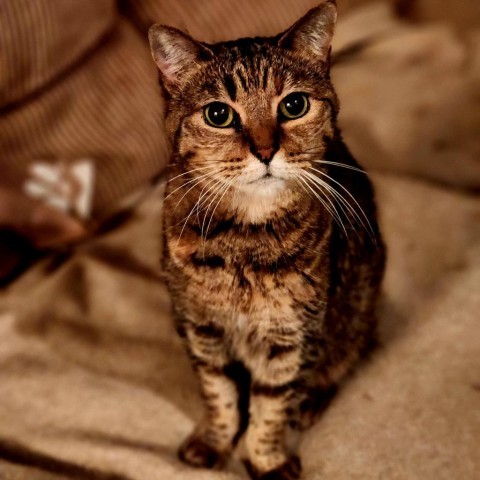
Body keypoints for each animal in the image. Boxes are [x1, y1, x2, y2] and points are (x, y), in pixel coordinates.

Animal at [148, 1, 384, 478]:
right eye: (218, 115)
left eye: (294, 105)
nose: (264, 150)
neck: (244, 241)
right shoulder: (200, 327)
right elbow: (219, 395)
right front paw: (214, 441)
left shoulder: (292, 336)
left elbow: (271, 407)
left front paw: (266, 459)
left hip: (357, 311)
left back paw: (311, 402)